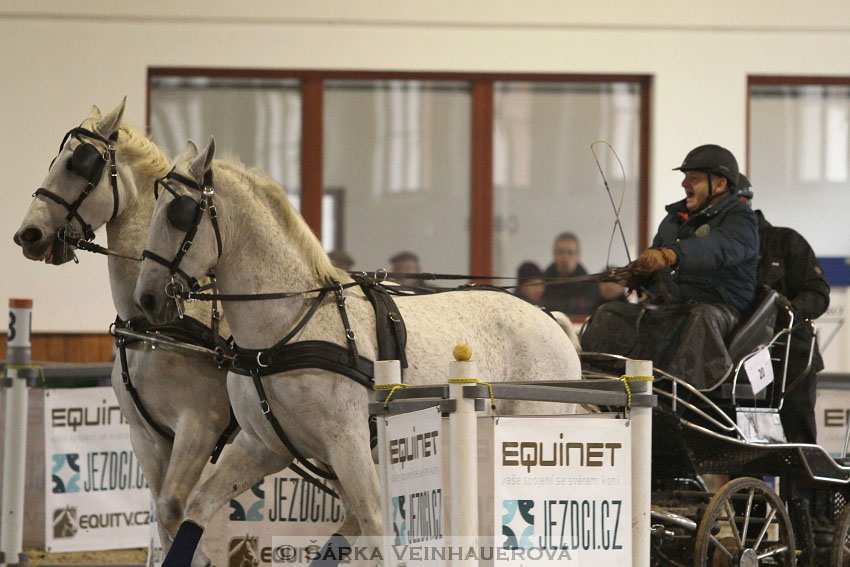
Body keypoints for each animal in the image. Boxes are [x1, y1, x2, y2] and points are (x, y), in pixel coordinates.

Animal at [12, 101, 245, 564]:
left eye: (80, 164)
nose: (28, 235)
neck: (155, 328)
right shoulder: (148, 436)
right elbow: (163, 518)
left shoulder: (199, 428)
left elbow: (177, 511)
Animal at [132, 139, 584, 567]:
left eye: (178, 213)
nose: (148, 298)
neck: (284, 330)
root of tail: (550, 320)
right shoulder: (263, 447)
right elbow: (195, 509)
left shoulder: (347, 443)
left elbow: (376, 523)